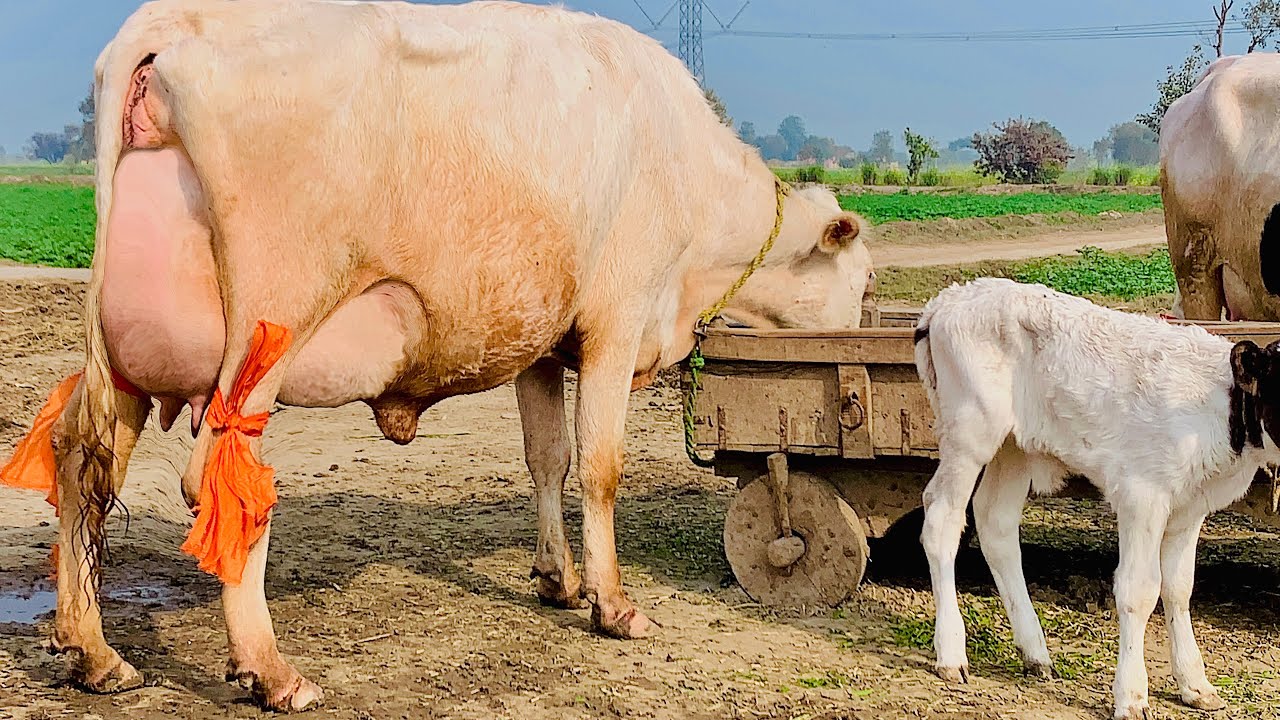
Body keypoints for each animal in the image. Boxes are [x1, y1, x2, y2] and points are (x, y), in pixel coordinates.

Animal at [1, 0, 876, 711]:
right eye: (864, 279)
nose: (864, 319)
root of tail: (175, 21)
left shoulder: (539, 341)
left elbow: (547, 458)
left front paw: (556, 580)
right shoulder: (615, 321)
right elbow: (600, 467)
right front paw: (614, 604)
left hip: (120, 358)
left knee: (80, 457)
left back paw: (93, 653)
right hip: (268, 330)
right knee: (218, 482)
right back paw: (271, 671)